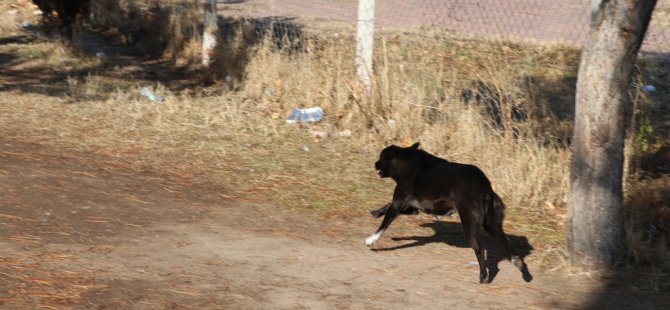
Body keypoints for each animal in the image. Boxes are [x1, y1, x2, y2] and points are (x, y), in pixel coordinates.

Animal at [370, 143, 528, 284]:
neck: (404, 162)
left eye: (381, 157)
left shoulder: (398, 204)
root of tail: (485, 187)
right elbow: (387, 207)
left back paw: (483, 277)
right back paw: (519, 266)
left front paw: (371, 240)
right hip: (492, 225)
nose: (375, 163)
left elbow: (383, 225)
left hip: (469, 223)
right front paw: (376, 212)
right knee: (506, 244)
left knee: (480, 249)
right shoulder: (412, 208)